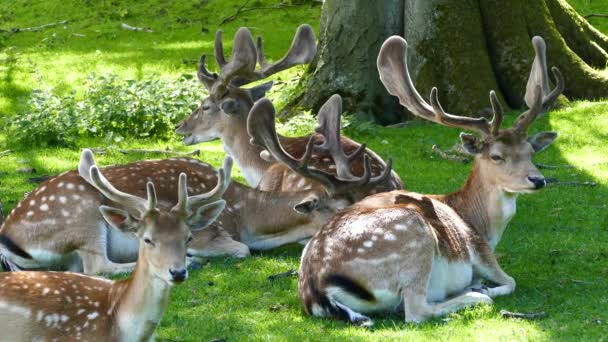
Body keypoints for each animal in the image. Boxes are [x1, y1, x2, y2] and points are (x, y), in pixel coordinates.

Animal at [296, 35, 564, 326]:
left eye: (531, 152)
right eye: (496, 156)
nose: (537, 179)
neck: (481, 224)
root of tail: (316, 289)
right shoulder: (481, 253)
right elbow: (510, 281)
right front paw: (482, 286)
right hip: (413, 235)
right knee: (416, 312)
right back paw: (472, 293)